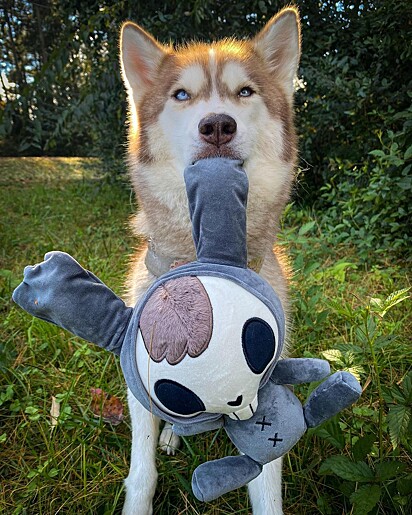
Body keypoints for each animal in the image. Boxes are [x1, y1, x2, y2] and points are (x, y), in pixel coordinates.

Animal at [119, 6, 300, 512]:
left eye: (245, 92)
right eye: (182, 94)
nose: (217, 124)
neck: (205, 254)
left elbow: (266, 478)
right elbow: (142, 469)